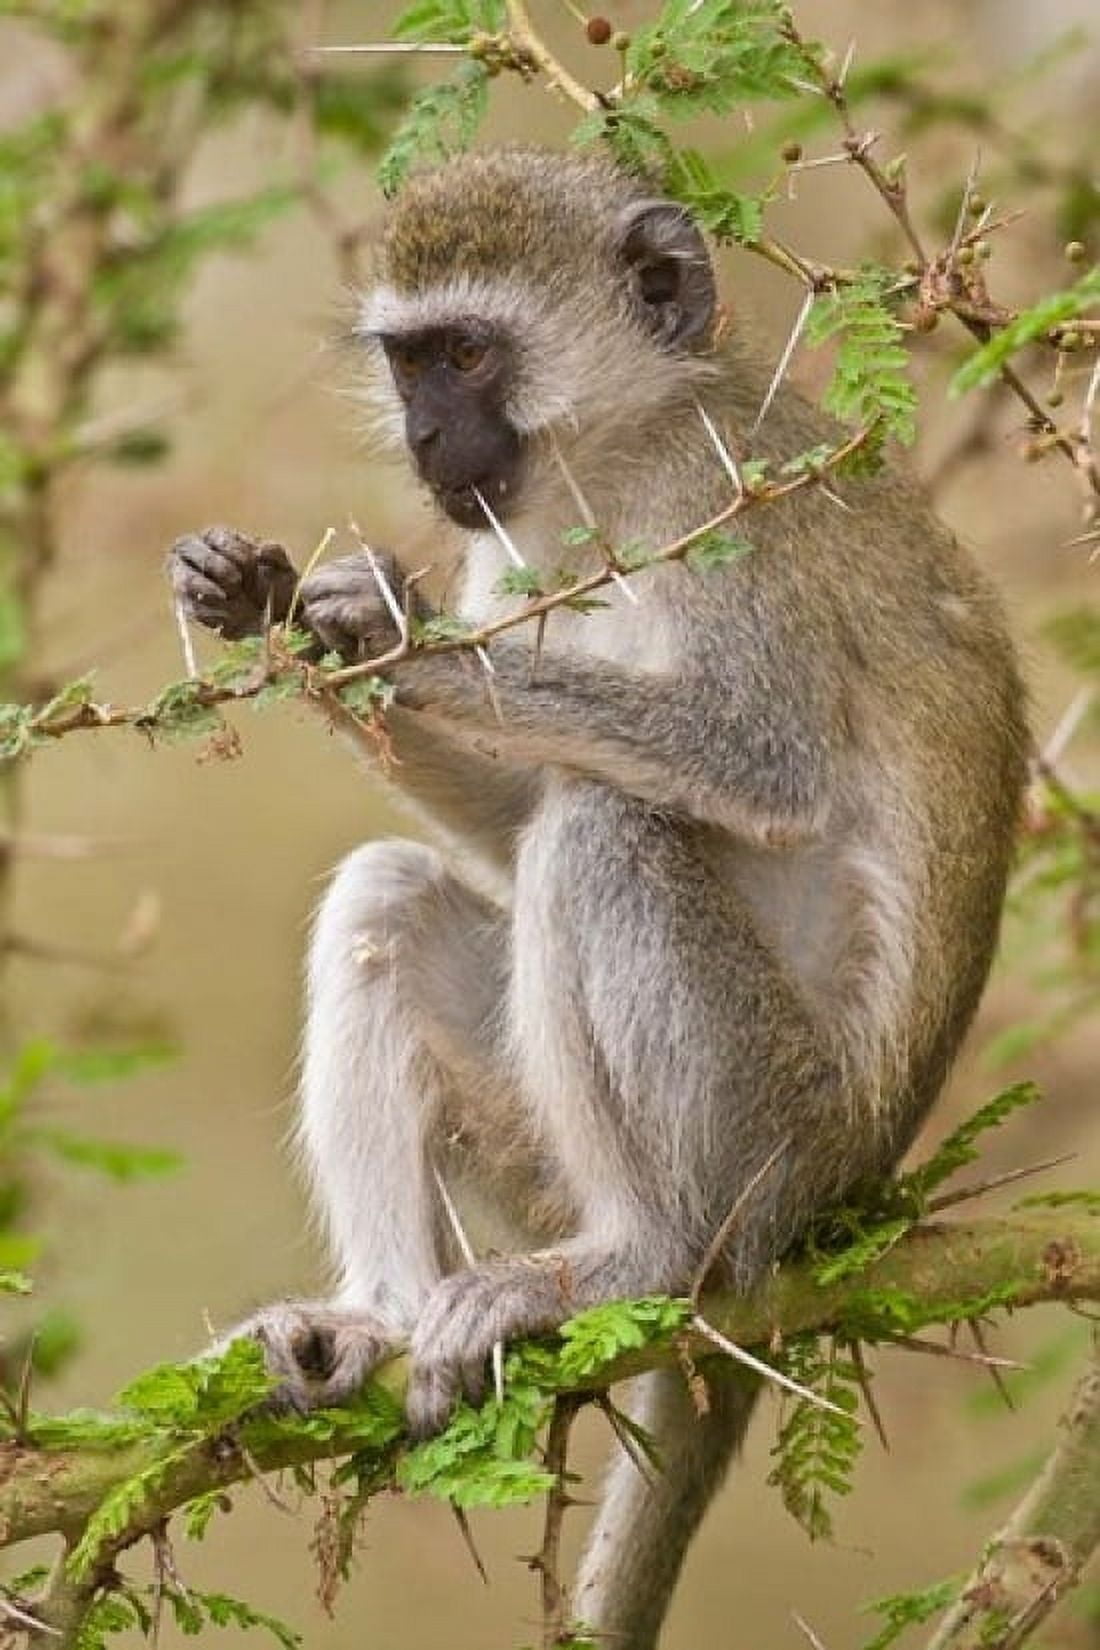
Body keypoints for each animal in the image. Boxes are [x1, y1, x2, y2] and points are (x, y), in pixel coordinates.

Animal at [169, 147, 1028, 1648]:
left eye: (468, 354)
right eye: (407, 361)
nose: (427, 441)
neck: (615, 457)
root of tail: (854, 1191)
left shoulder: (716, 505)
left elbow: (755, 759)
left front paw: (384, 627)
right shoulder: (515, 545)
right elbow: (506, 824)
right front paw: (281, 605)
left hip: (770, 1145)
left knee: (602, 828)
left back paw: (642, 1260)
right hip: (541, 1158)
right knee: (394, 891)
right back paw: (367, 1325)